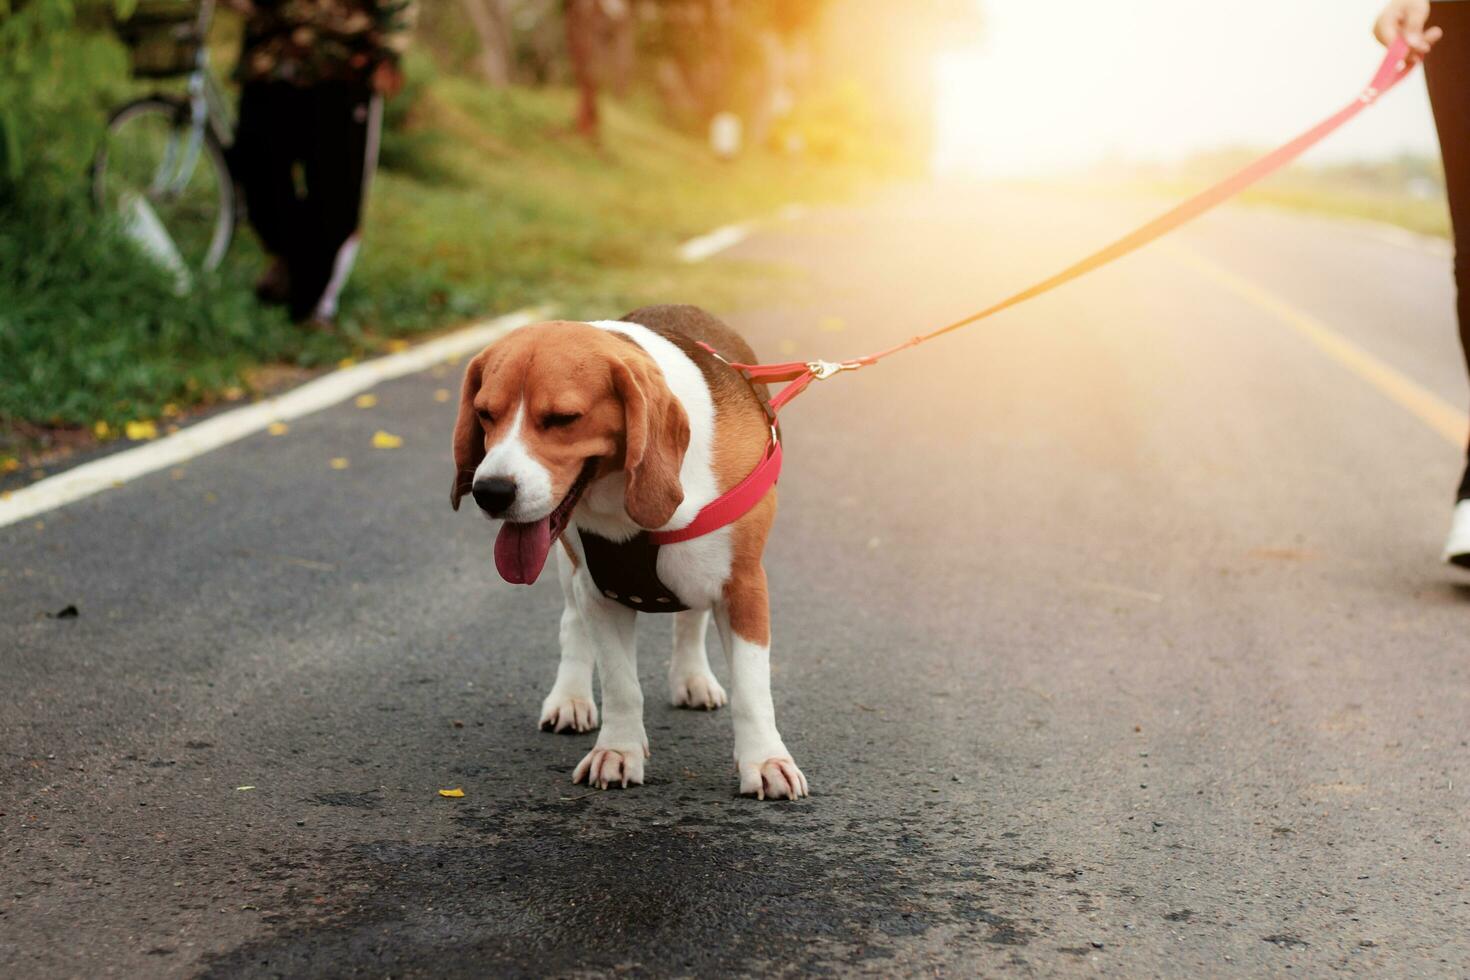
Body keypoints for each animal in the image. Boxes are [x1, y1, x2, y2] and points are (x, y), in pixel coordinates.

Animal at [452, 302, 811, 799]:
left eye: (563, 419)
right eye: (485, 414)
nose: (490, 492)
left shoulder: (744, 587)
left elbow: (752, 688)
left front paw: (766, 760)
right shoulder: (601, 593)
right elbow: (621, 684)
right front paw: (618, 752)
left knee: (690, 619)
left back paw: (692, 677)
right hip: (568, 567)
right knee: (572, 624)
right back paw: (571, 697)